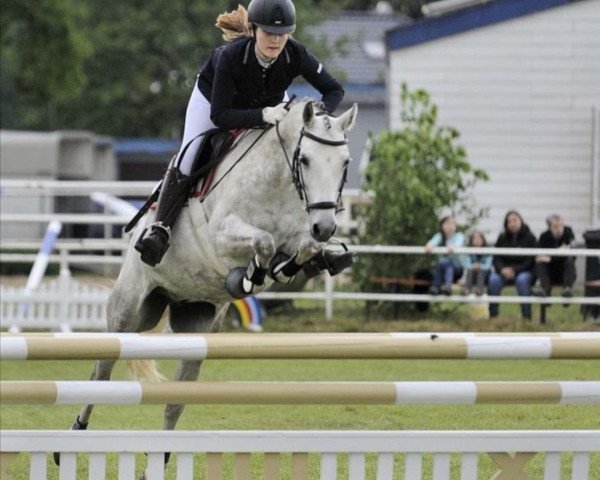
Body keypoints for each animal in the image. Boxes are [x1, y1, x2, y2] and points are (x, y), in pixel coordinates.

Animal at [62, 100, 356, 464]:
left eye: (345, 163)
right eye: (305, 160)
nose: (326, 226)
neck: (279, 184)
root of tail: (171, 299)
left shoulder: (301, 234)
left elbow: (303, 248)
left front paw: (282, 268)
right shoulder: (222, 236)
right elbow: (264, 243)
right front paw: (248, 278)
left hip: (197, 328)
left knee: (174, 403)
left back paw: (157, 460)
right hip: (127, 314)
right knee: (101, 372)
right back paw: (73, 436)